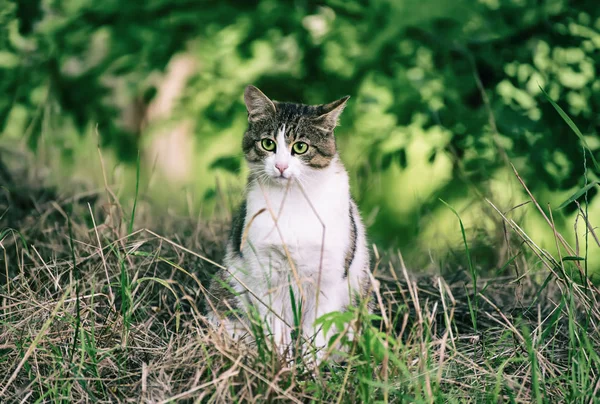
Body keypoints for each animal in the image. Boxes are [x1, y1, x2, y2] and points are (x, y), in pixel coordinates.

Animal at [209, 85, 372, 360]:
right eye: (268, 143)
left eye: (301, 147)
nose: (281, 166)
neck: (292, 199)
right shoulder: (265, 275)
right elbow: (275, 330)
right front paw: (277, 363)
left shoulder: (326, 279)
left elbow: (314, 335)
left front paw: (307, 367)